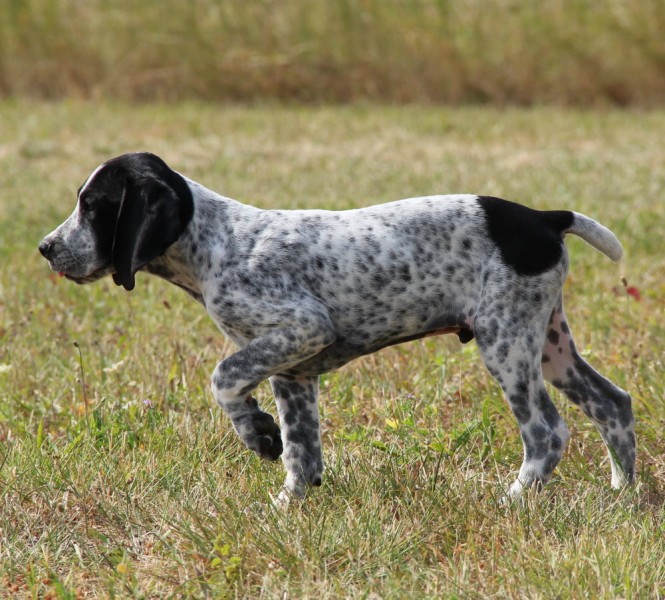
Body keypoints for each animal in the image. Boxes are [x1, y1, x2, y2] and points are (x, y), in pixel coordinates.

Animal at [39, 152, 636, 504]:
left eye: (92, 206)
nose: (46, 248)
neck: (214, 244)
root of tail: (542, 217)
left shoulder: (302, 328)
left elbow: (224, 378)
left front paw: (256, 433)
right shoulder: (293, 372)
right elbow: (301, 453)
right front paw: (288, 505)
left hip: (506, 344)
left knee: (547, 432)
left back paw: (513, 499)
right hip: (550, 345)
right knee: (613, 403)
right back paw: (624, 494)